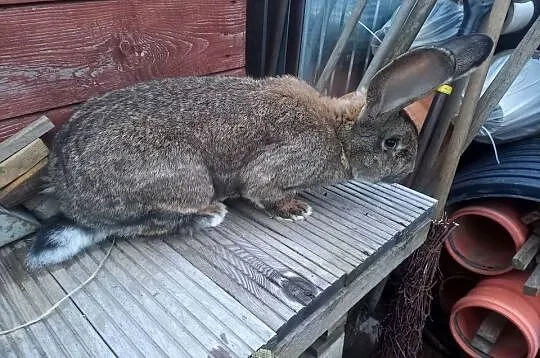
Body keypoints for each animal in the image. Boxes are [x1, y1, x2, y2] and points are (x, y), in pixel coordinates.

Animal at [27, 33, 496, 270]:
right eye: (392, 144)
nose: (408, 170)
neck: (339, 133)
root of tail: (72, 196)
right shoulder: (280, 165)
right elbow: (261, 188)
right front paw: (295, 209)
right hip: (185, 179)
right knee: (145, 225)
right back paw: (211, 215)